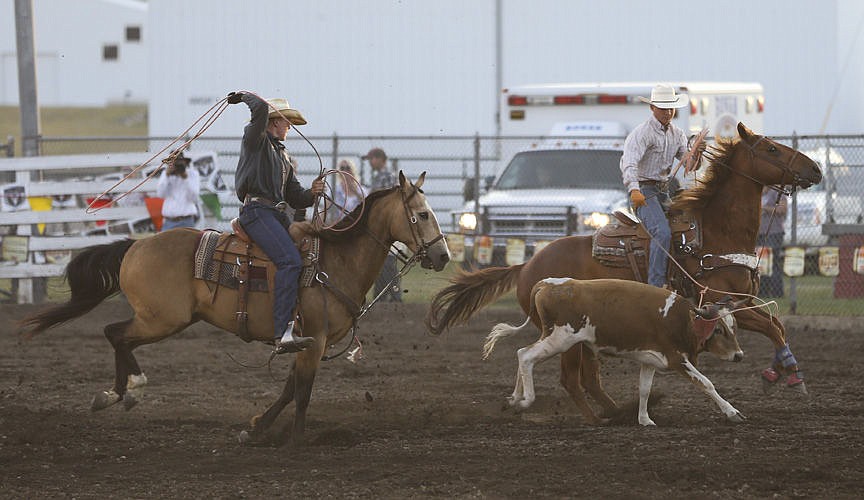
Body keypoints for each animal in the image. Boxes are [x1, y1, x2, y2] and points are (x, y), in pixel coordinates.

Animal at [18, 173, 452, 446]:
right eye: (423, 214)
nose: (444, 256)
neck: (336, 260)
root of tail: (137, 245)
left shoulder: (307, 342)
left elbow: (289, 388)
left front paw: (257, 430)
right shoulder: (314, 339)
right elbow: (303, 392)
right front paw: (297, 440)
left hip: (161, 319)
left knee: (117, 337)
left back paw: (116, 394)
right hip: (162, 319)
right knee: (115, 334)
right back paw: (127, 390)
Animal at [482, 278, 744, 426]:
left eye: (734, 327)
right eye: (718, 329)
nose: (739, 356)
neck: (684, 320)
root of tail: (547, 285)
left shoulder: (650, 360)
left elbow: (644, 389)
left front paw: (644, 419)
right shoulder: (677, 359)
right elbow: (706, 383)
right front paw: (732, 412)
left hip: (551, 336)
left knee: (522, 352)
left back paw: (514, 398)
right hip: (560, 339)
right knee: (526, 356)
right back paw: (526, 400)